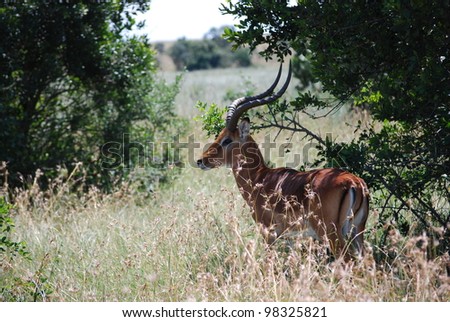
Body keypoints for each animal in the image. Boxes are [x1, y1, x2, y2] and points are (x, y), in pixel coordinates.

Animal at [197, 63, 370, 260]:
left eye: (226, 140)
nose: (201, 160)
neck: (259, 179)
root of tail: (354, 183)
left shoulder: (269, 233)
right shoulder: (290, 238)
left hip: (332, 235)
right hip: (357, 232)